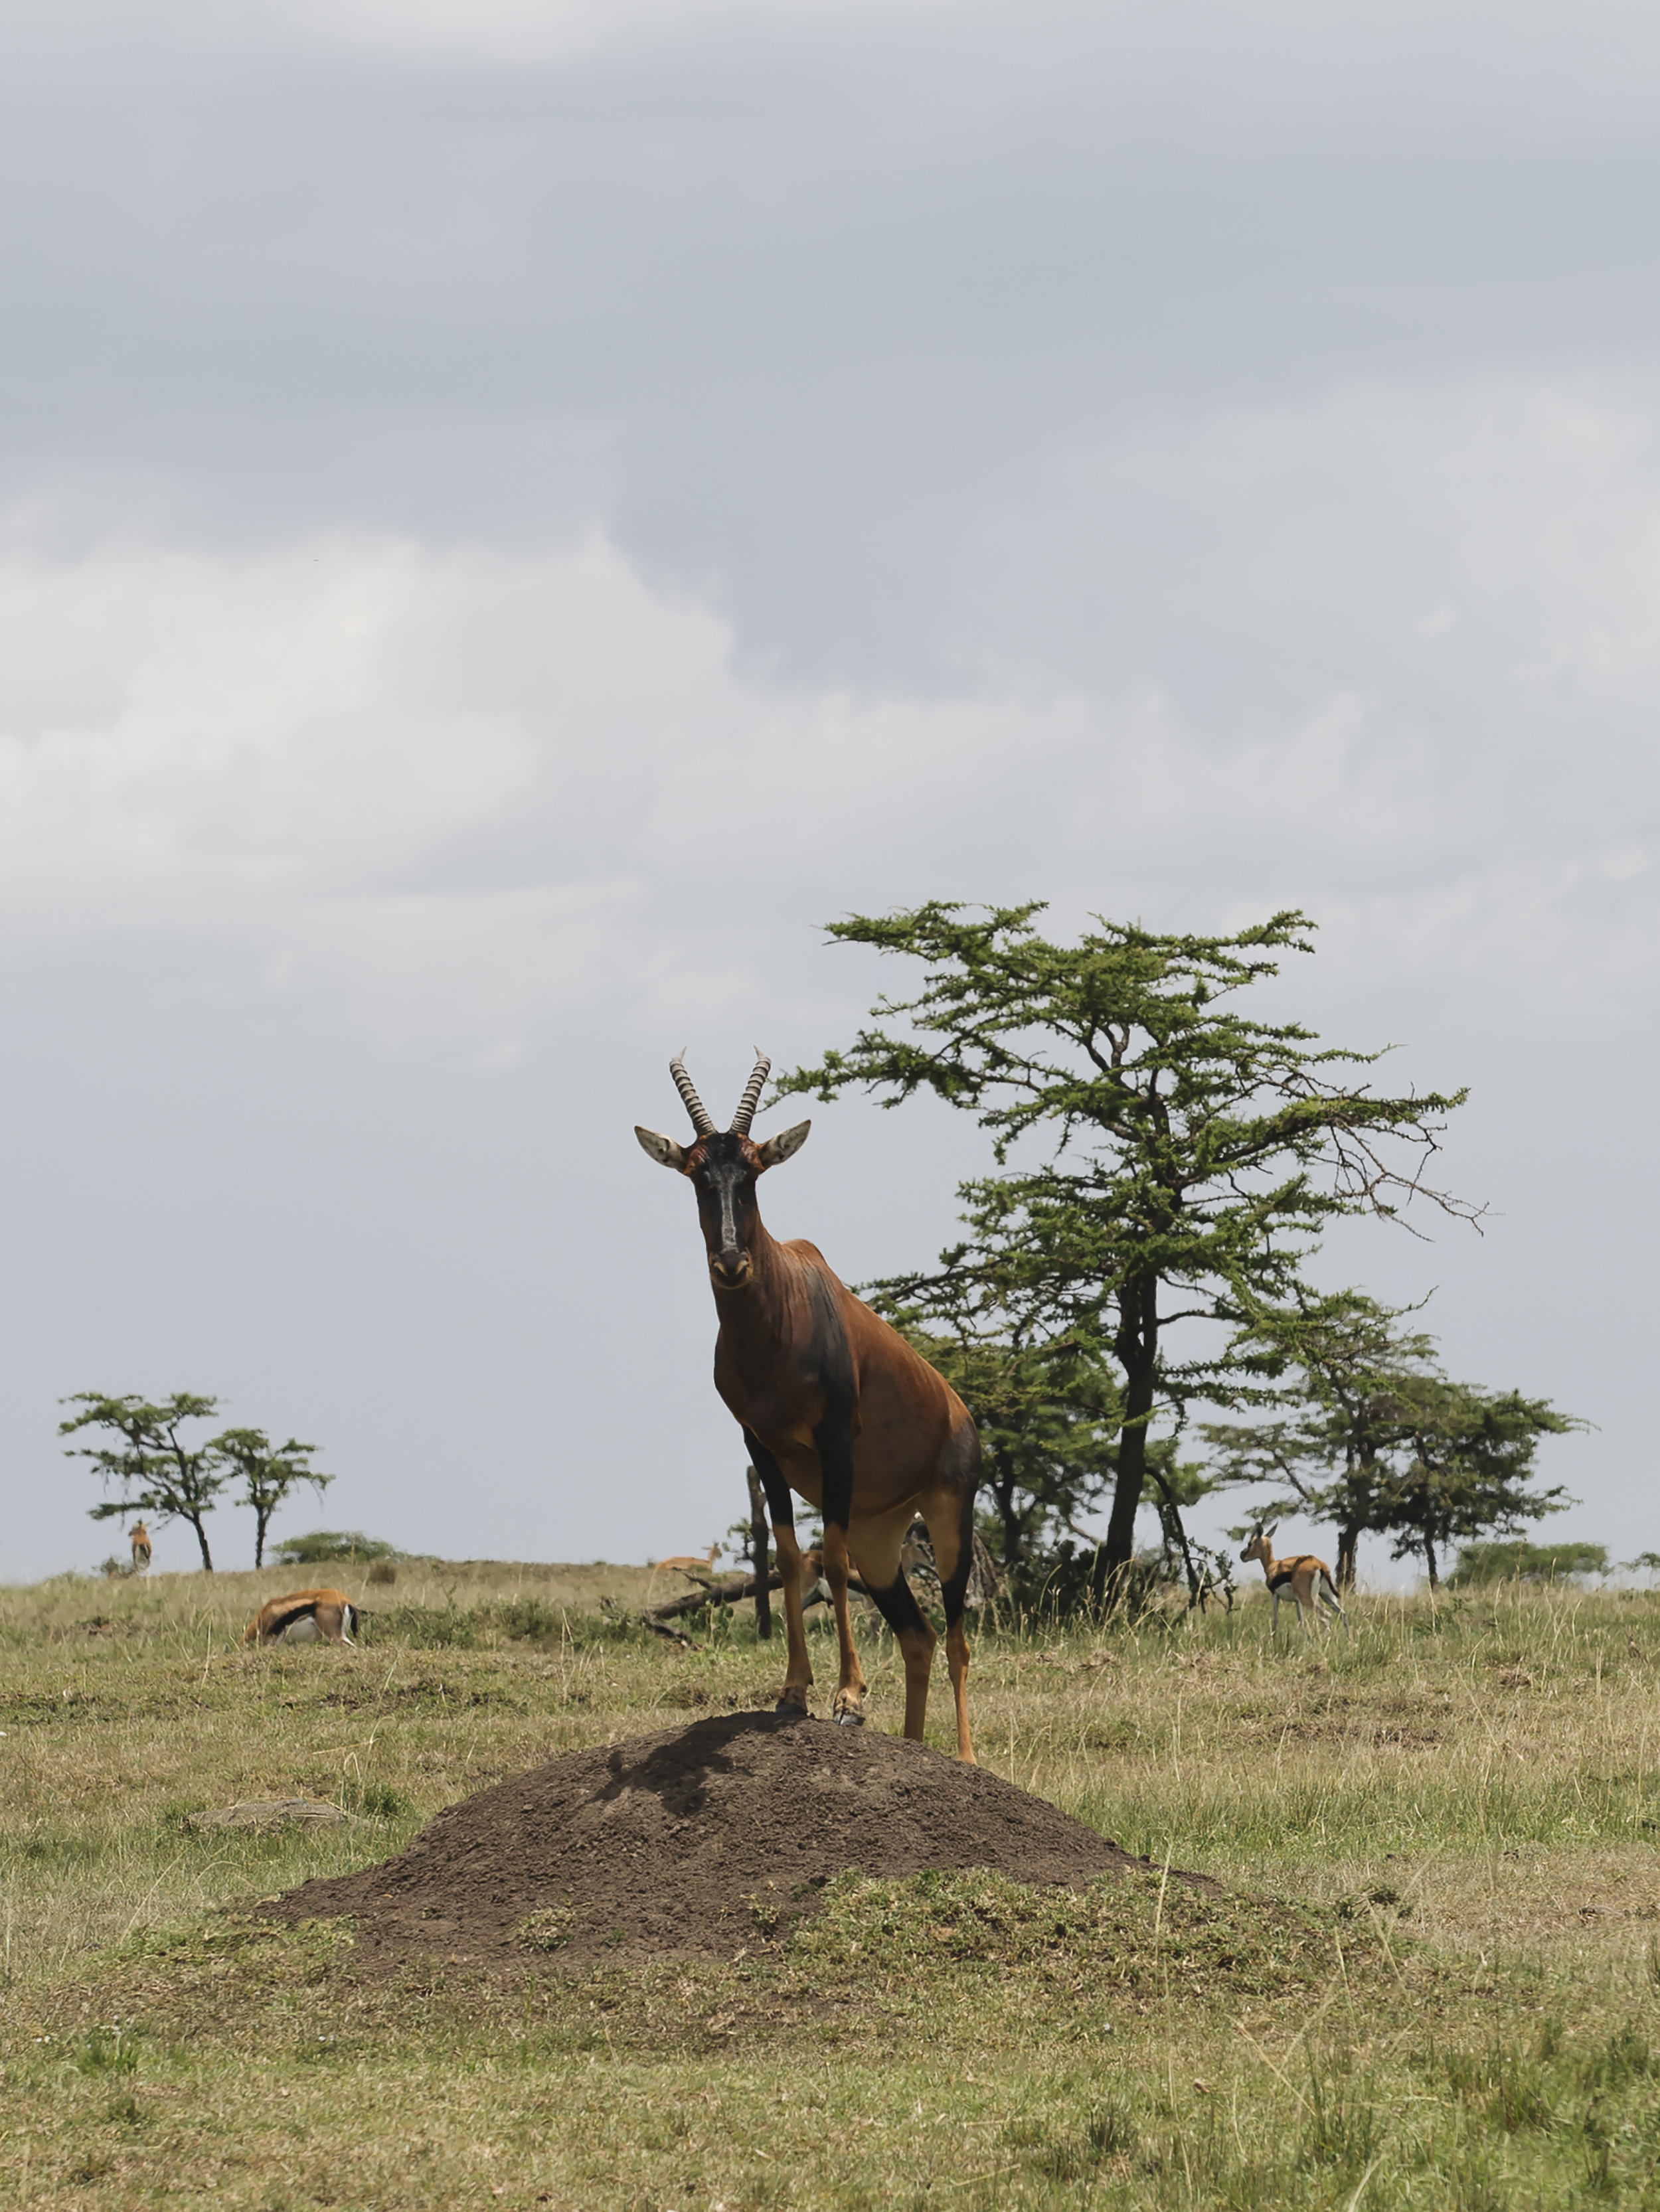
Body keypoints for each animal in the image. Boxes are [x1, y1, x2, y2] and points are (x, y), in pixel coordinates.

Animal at [637, 1053, 983, 1761]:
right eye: (697, 1174)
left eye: (754, 1170)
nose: (732, 1262)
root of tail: (961, 1413)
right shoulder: (760, 1445)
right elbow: (793, 1556)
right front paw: (795, 1692)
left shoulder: (835, 1441)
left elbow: (832, 1555)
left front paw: (848, 1701)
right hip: (885, 1540)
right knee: (919, 1635)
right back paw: (911, 1745)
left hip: (949, 1515)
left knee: (958, 1635)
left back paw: (965, 1760)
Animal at [1248, 1522, 1355, 1646]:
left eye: (1250, 1543)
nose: (1242, 1555)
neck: (1273, 1566)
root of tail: (1319, 1565)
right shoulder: (1297, 1601)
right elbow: (1301, 1622)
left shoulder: (1275, 1595)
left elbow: (1276, 1620)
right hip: (1326, 1596)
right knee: (1342, 1614)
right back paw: (1351, 1642)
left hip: (1309, 1600)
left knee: (1326, 1618)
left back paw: (1319, 1644)